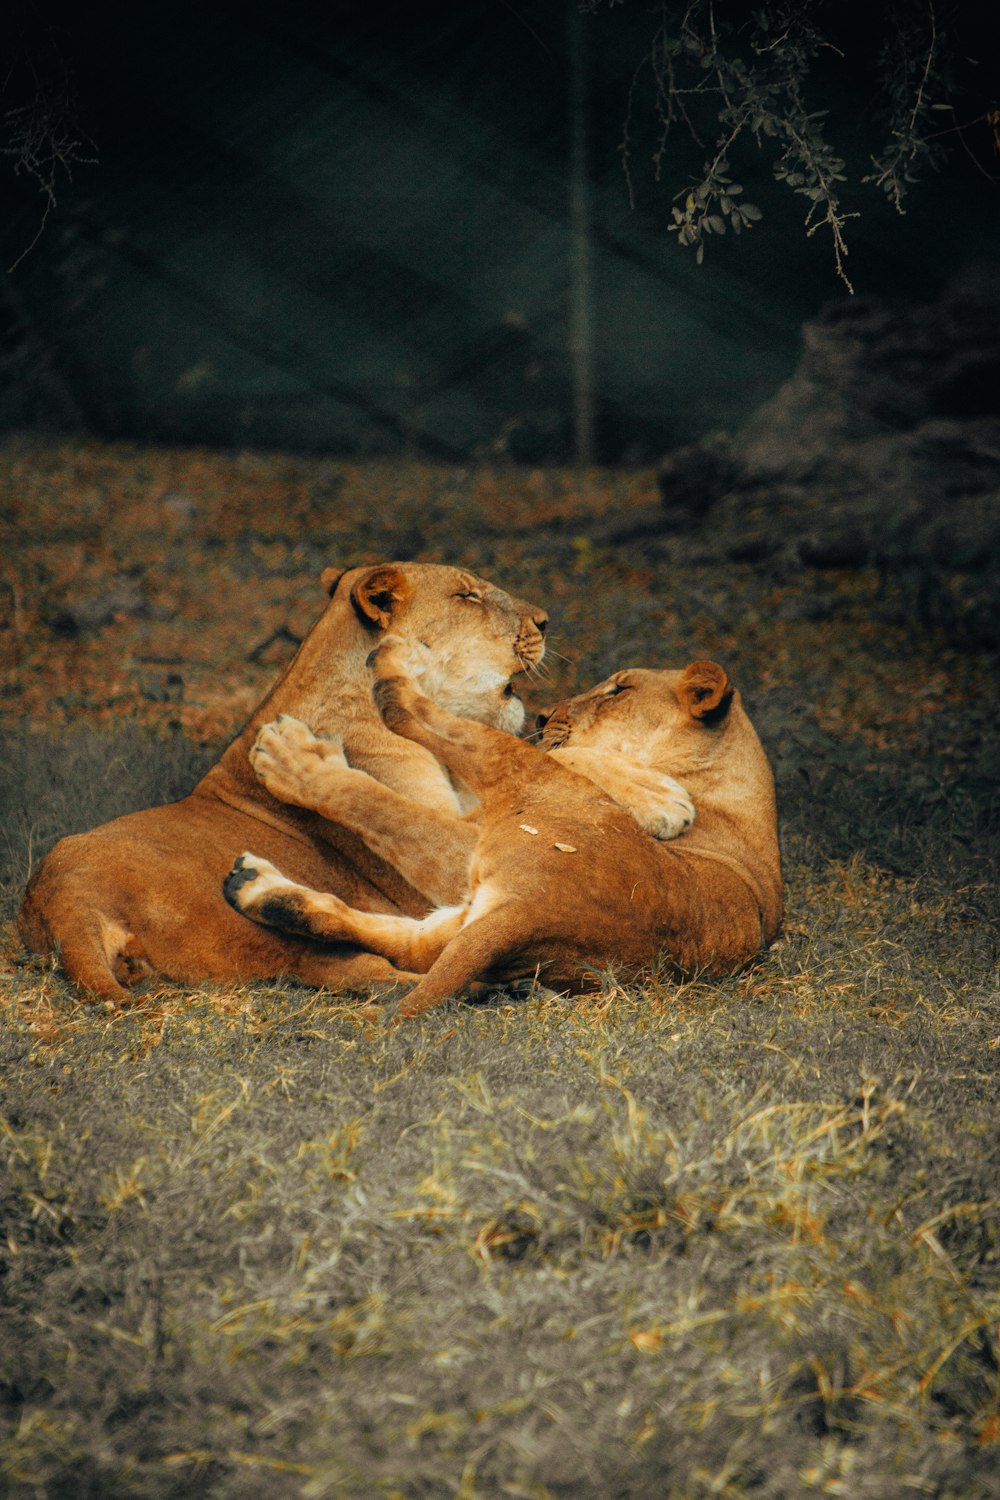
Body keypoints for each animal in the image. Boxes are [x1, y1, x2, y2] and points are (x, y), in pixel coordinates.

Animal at [17, 558, 548, 1002]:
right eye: (467, 596)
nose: (545, 621)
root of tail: (64, 902)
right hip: (261, 929)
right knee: (366, 971)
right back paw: (494, 986)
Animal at [224, 648, 779, 1020]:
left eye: (619, 690)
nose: (545, 714)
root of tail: (534, 906)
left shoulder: (464, 837)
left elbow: (378, 804)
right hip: (466, 914)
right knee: (408, 948)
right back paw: (251, 886)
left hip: (515, 785)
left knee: (412, 722)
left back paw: (389, 672)